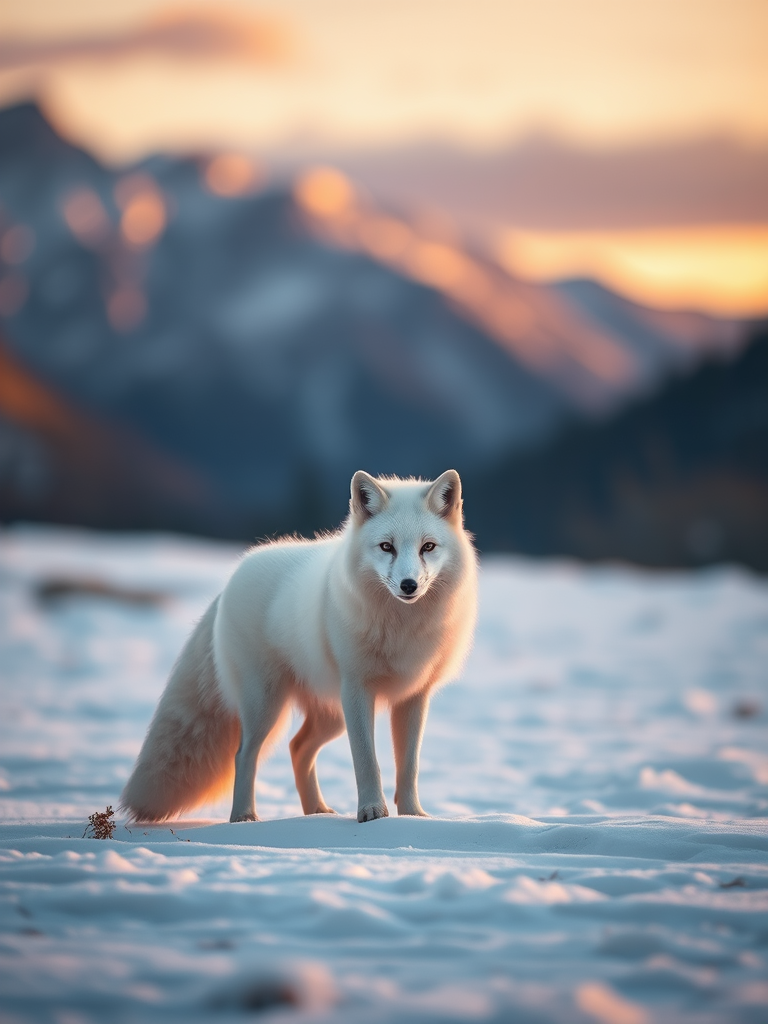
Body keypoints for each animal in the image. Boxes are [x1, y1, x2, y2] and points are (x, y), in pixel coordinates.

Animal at [120, 469, 478, 824]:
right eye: (387, 547)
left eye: (427, 547)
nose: (408, 585)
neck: (402, 628)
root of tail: (230, 581)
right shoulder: (357, 689)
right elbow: (367, 761)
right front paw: (372, 812)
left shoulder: (414, 696)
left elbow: (409, 766)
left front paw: (413, 815)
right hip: (267, 705)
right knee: (244, 754)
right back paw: (244, 817)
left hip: (330, 714)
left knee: (297, 747)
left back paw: (314, 811)